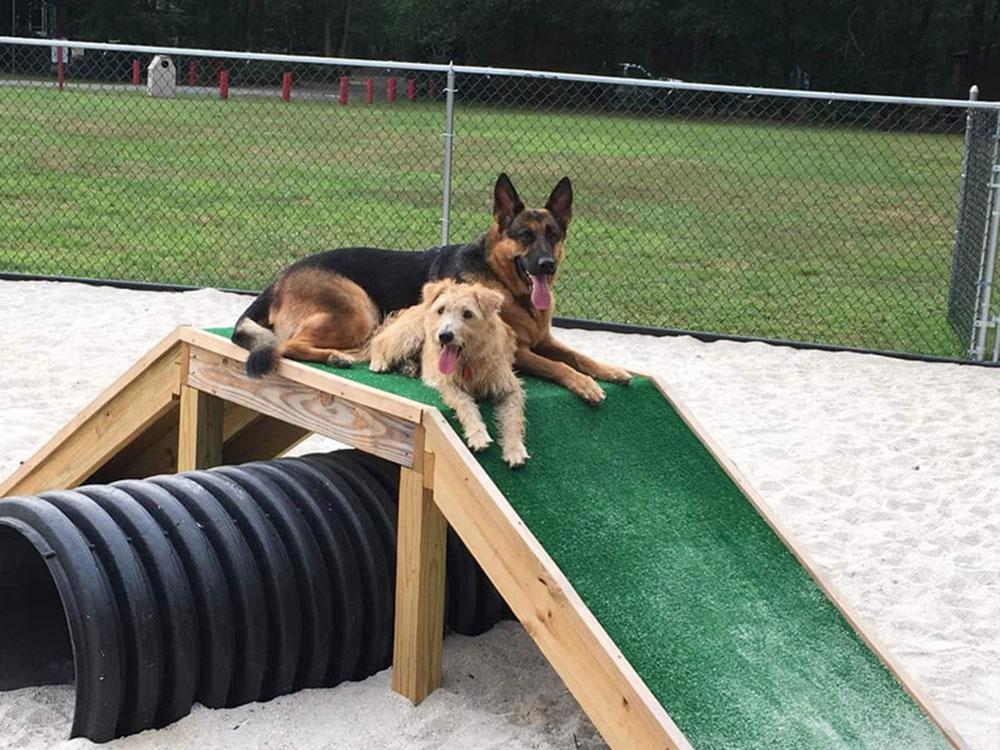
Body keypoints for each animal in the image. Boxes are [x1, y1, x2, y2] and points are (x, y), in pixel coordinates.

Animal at [230, 174, 628, 402]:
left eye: (554, 235)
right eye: (525, 236)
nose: (547, 265)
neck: (504, 283)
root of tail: (277, 280)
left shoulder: (544, 340)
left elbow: (579, 356)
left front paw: (609, 370)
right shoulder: (519, 352)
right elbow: (558, 365)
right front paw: (585, 384)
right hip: (359, 308)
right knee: (288, 345)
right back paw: (335, 357)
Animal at [372, 280, 532, 468]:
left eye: (468, 313)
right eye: (441, 310)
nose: (445, 336)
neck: (469, 361)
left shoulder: (510, 388)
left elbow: (514, 417)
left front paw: (515, 449)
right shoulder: (448, 384)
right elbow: (465, 403)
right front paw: (477, 433)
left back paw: (409, 367)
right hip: (410, 335)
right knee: (378, 340)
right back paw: (379, 362)